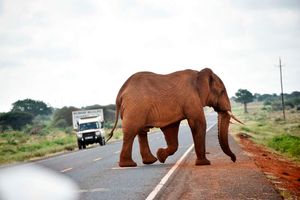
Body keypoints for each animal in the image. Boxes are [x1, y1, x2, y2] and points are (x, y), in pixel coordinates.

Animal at [106, 68, 243, 167]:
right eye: (222, 92)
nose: (234, 159)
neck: (199, 74)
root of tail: (120, 93)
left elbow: (171, 130)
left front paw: (161, 155)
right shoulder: (191, 98)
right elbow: (198, 124)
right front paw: (204, 163)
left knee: (141, 131)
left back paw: (150, 161)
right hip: (135, 107)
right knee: (131, 132)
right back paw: (129, 165)